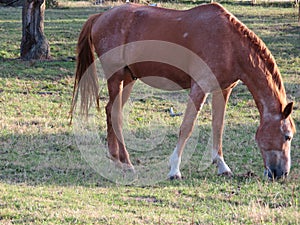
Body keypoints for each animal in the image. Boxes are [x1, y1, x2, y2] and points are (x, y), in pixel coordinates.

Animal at [70, 3, 296, 179]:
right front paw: (174, 169)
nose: (281, 174)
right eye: (287, 136)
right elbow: (187, 127)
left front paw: (222, 166)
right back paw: (127, 163)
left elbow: (218, 126)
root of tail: (100, 17)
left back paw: (116, 160)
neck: (230, 43)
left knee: (110, 110)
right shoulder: (200, 87)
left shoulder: (222, 90)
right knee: (116, 114)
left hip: (127, 79)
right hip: (116, 77)